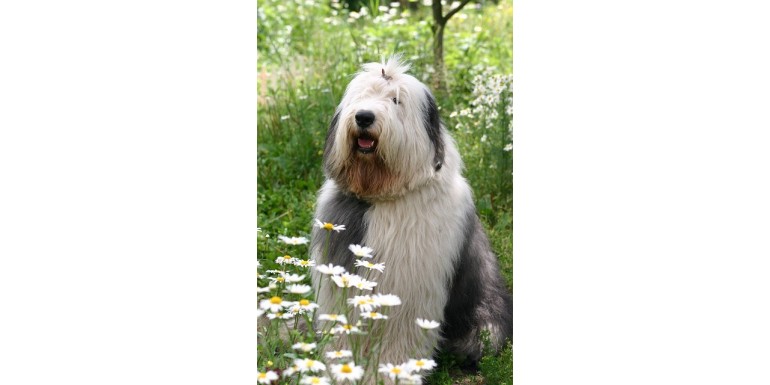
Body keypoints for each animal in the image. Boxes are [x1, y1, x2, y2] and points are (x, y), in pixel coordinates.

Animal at [306, 56, 510, 372]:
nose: (364, 117)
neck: (383, 194)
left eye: (396, 100)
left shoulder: (407, 284)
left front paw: (391, 372)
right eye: (361, 97)